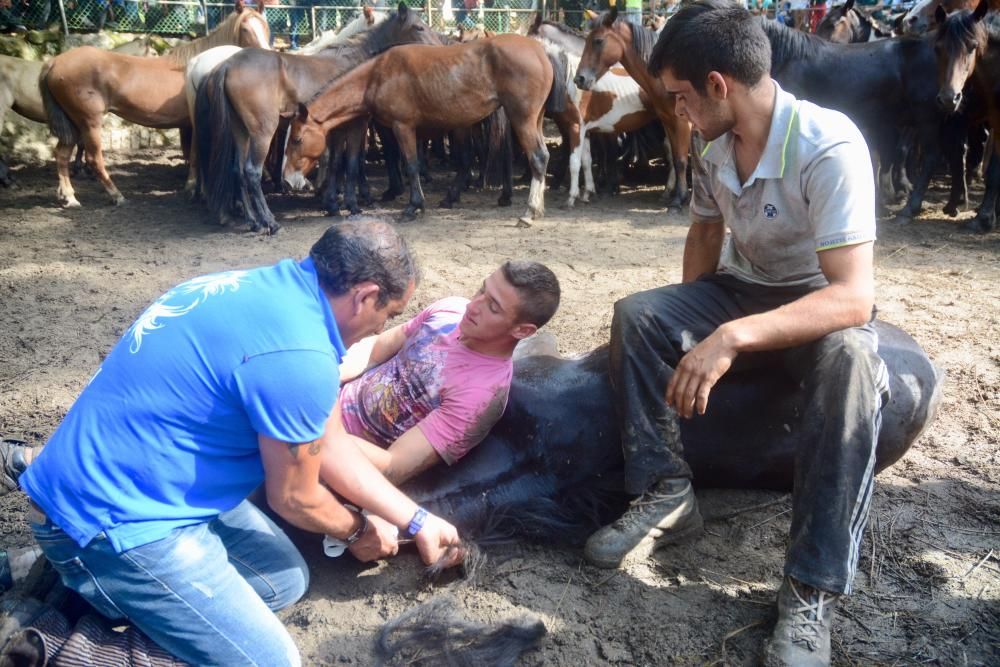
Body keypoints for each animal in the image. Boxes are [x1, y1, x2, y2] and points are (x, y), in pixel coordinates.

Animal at [39, 3, 270, 209]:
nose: (266, 55)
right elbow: (196, 154)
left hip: (73, 124)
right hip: (89, 123)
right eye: (245, 28)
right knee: (94, 159)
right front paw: (193, 189)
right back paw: (116, 195)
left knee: (61, 155)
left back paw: (69, 197)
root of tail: (54, 62)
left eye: (265, 27)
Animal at [195, 3, 442, 235]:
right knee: (251, 172)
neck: (357, 64)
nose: (439, 48)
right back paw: (270, 222)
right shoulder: (357, 124)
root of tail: (227, 64)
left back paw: (254, 222)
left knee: (238, 171)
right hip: (262, 133)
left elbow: (335, 162)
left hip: (241, 132)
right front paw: (352, 205)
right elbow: (352, 162)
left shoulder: (335, 128)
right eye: (419, 27)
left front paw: (332, 203)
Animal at [282, 34, 556, 226]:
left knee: (537, 157)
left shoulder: (402, 127)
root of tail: (540, 51)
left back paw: (529, 212)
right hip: (532, 120)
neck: (377, 75)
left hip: (522, 119)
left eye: (296, 139)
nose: (287, 180)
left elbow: (411, 165)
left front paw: (413, 207)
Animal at [572, 9, 696, 210]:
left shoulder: (683, 123)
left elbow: (681, 160)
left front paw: (679, 199)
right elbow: (675, 157)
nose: (579, 79)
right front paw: (678, 195)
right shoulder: (668, 121)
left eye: (598, 41)